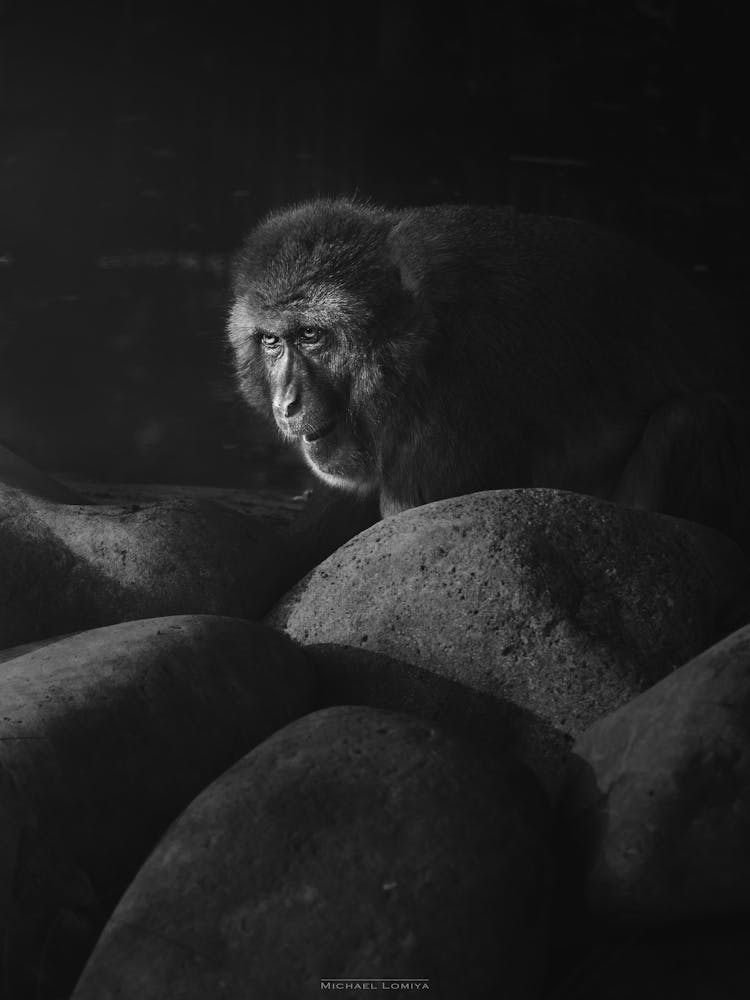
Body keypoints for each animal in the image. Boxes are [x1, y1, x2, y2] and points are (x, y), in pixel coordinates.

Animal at [227, 197, 749, 553]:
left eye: (311, 335)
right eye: (272, 342)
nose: (287, 403)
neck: (421, 334)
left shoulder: (453, 407)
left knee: (690, 420)